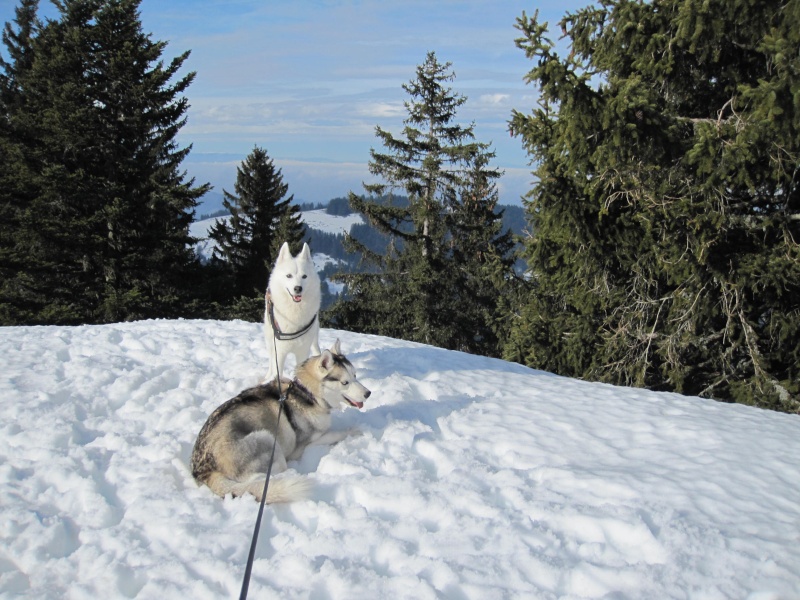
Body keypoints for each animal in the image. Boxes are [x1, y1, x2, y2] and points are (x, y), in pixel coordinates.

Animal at [192, 340, 370, 504]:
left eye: (355, 376)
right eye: (345, 382)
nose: (368, 393)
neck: (308, 393)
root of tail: (202, 471)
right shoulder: (306, 444)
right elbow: (336, 434)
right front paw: (354, 430)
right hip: (265, 439)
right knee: (264, 476)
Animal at [266, 241, 322, 382]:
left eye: (304, 276)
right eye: (289, 276)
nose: (298, 288)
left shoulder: (303, 351)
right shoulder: (279, 352)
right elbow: (277, 373)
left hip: (314, 336)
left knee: (316, 349)